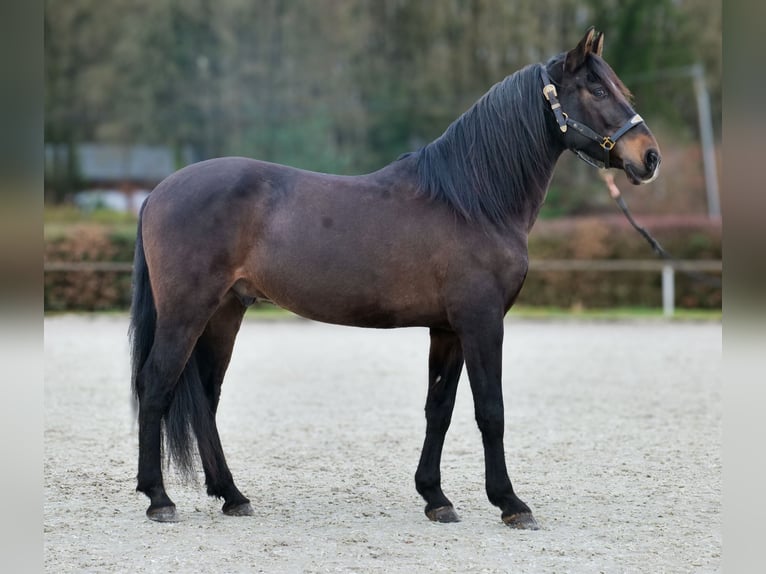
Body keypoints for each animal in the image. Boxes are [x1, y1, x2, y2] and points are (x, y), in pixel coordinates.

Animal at [129, 27, 660, 529]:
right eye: (596, 89)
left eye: (619, 87)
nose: (650, 157)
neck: (472, 200)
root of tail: (158, 192)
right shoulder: (482, 321)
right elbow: (491, 410)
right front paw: (510, 503)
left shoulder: (448, 329)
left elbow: (439, 408)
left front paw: (436, 498)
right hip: (186, 311)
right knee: (155, 384)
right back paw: (159, 499)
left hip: (224, 313)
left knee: (206, 400)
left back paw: (232, 496)